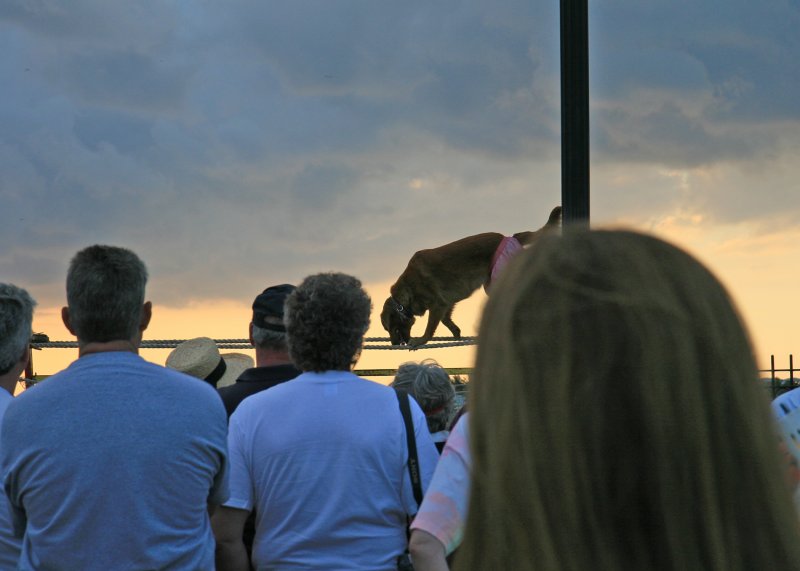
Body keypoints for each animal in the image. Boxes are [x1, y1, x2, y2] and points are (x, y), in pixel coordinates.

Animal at [382, 207, 564, 346]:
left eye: (392, 328)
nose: (395, 344)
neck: (407, 290)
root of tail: (509, 237)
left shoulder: (437, 304)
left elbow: (430, 327)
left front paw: (421, 340)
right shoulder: (446, 302)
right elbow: (446, 320)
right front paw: (456, 332)